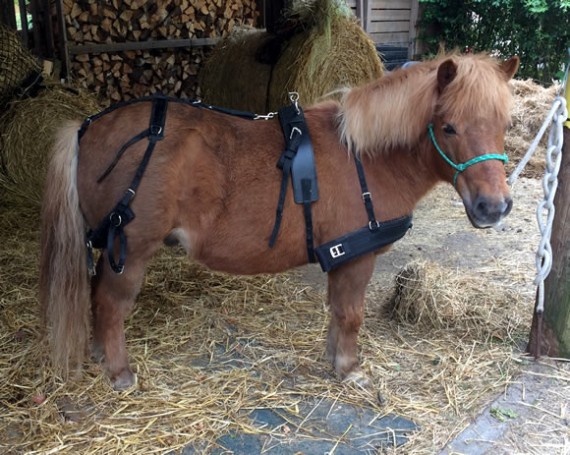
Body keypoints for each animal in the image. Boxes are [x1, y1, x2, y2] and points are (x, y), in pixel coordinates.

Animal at [40, 52, 520, 388]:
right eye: (448, 127)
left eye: (504, 123)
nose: (493, 208)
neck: (365, 157)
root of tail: (86, 128)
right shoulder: (355, 260)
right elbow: (351, 314)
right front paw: (349, 368)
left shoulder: (342, 259)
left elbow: (338, 313)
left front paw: (336, 358)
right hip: (131, 249)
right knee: (109, 303)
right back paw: (118, 370)